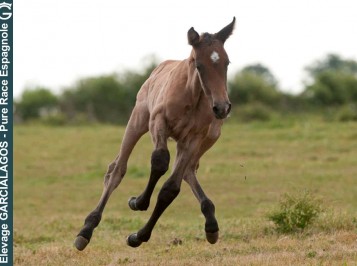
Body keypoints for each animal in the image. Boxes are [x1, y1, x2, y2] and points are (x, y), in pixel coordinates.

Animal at [74, 17, 235, 250]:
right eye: (198, 64)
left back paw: (211, 225)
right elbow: (159, 161)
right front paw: (139, 202)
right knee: (116, 169)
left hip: (208, 138)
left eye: (226, 63)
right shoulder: (158, 121)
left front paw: (138, 236)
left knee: (188, 171)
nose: (222, 108)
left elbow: (170, 188)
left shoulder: (194, 138)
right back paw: (86, 230)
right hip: (138, 120)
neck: (192, 96)